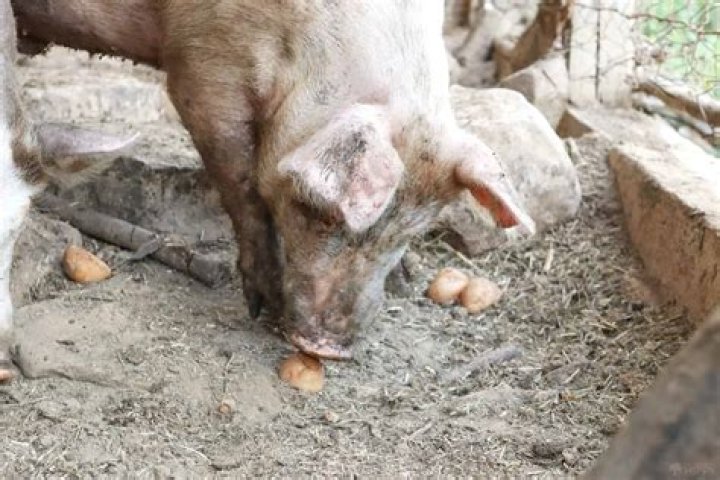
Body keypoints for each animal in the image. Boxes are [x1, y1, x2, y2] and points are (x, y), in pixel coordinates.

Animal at [12, 0, 535, 360]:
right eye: (319, 210)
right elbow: (240, 177)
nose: (328, 348)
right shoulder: (201, 66)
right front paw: (257, 307)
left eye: (415, 229)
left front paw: (406, 280)